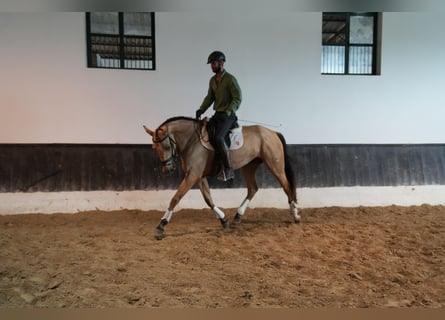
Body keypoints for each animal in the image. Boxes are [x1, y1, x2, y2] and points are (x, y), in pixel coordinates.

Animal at [144, 116, 300, 239]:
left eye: (166, 147)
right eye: (154, 148)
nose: (167, 169)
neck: (191, 140)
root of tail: (273, 133)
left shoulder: (193, 175)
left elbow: (176, 198)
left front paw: (161, 226)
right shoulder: (199, 176)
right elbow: (208, 199)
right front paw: (224, 220)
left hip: (275, 165)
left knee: (286, 186)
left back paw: (295, 215)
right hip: (249, 166)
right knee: (253, 189)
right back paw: (238, 216)